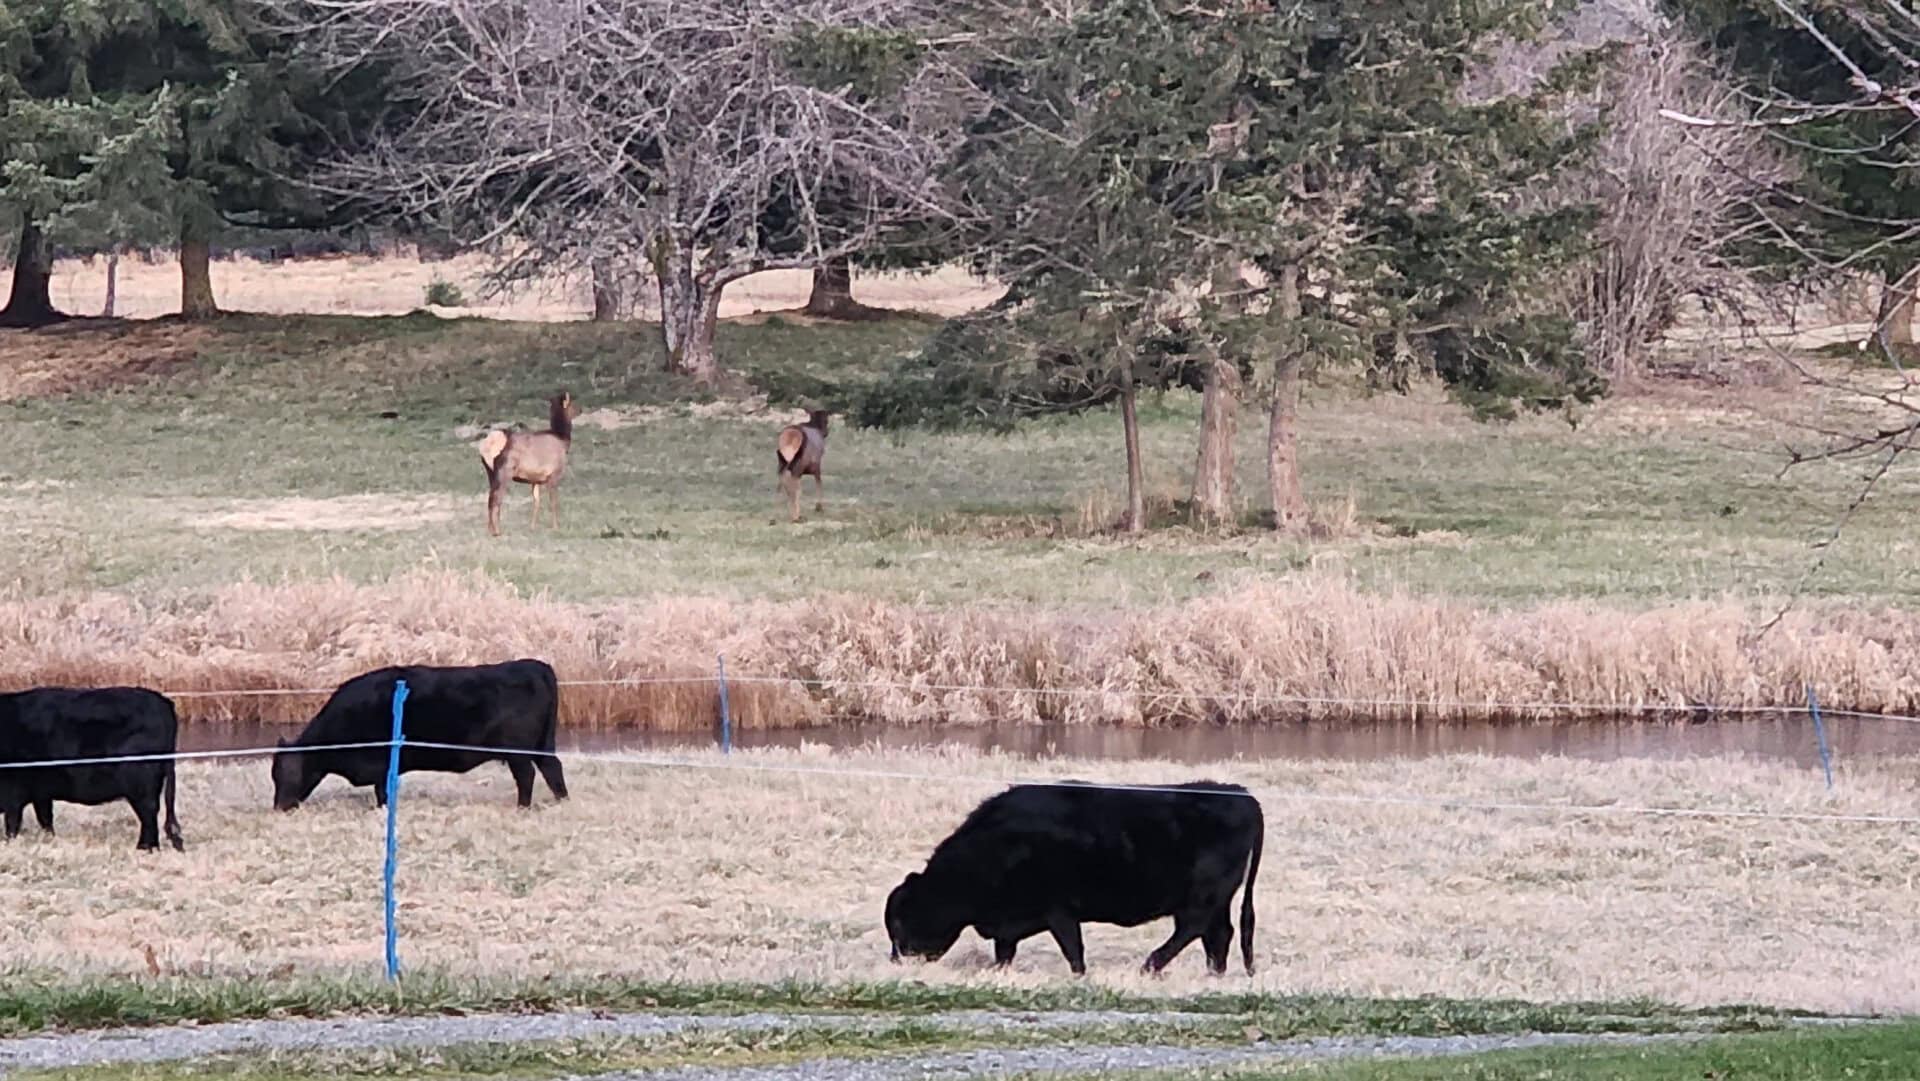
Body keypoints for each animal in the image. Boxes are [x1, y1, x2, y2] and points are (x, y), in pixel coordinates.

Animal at [0, 687, 185, 852]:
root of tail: (163, 702)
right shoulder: (41, 793)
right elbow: (45, 819)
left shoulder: (14, 792)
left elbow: (13, 824)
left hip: (140, 782)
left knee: (149, 813)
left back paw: (145, 848)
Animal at [270, 659, 568, 811]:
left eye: (284, 773)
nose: (280, 807)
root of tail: (536, 665)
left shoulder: (381, 762)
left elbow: (383, 791)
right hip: (542, 744)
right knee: (552, 767)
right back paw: (561, 800)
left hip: (518, 751)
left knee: (527, 775)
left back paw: (522, 807)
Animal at [478, 390, 581, 537]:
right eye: (572, 403)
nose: (581, 410)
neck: (563, 440)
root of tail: (488, 444)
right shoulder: (554, 474)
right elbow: (553, 502)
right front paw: (555, 527)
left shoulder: (535, 479)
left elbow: (536, 501)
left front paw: (532, 527)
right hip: (504, 471)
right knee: (496, 499)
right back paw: (497, 531)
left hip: (490, 472)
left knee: (490, 498)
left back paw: (490, 530)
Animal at [884, 780, 1263, 977]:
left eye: (900, 923)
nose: (896, 960)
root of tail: (1239, 792)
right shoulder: (1010, 922)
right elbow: (1004, 952)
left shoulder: (1059, 910)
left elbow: (1073, 949)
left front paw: (1079, 977)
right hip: (1218, 899)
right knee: (1218, 933)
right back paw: (1214, 973)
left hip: (1201, 896)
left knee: (1193, 928)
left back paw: (1151, 965)